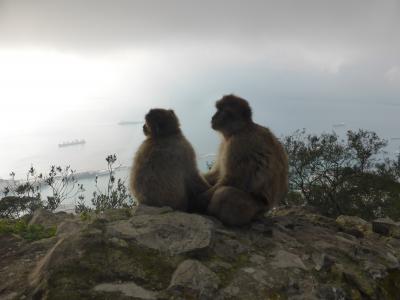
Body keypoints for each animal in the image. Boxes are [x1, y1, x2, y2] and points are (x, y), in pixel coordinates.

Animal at [203, 95, 288, 226]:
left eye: (222, 110)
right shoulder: (225, 143)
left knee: (225, 194)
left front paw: (198, 200)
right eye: (217, 109)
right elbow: (217, 173)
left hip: (257, 208)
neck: (241, 128)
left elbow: (233, 179)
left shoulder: (239, 143)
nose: (213, 117)